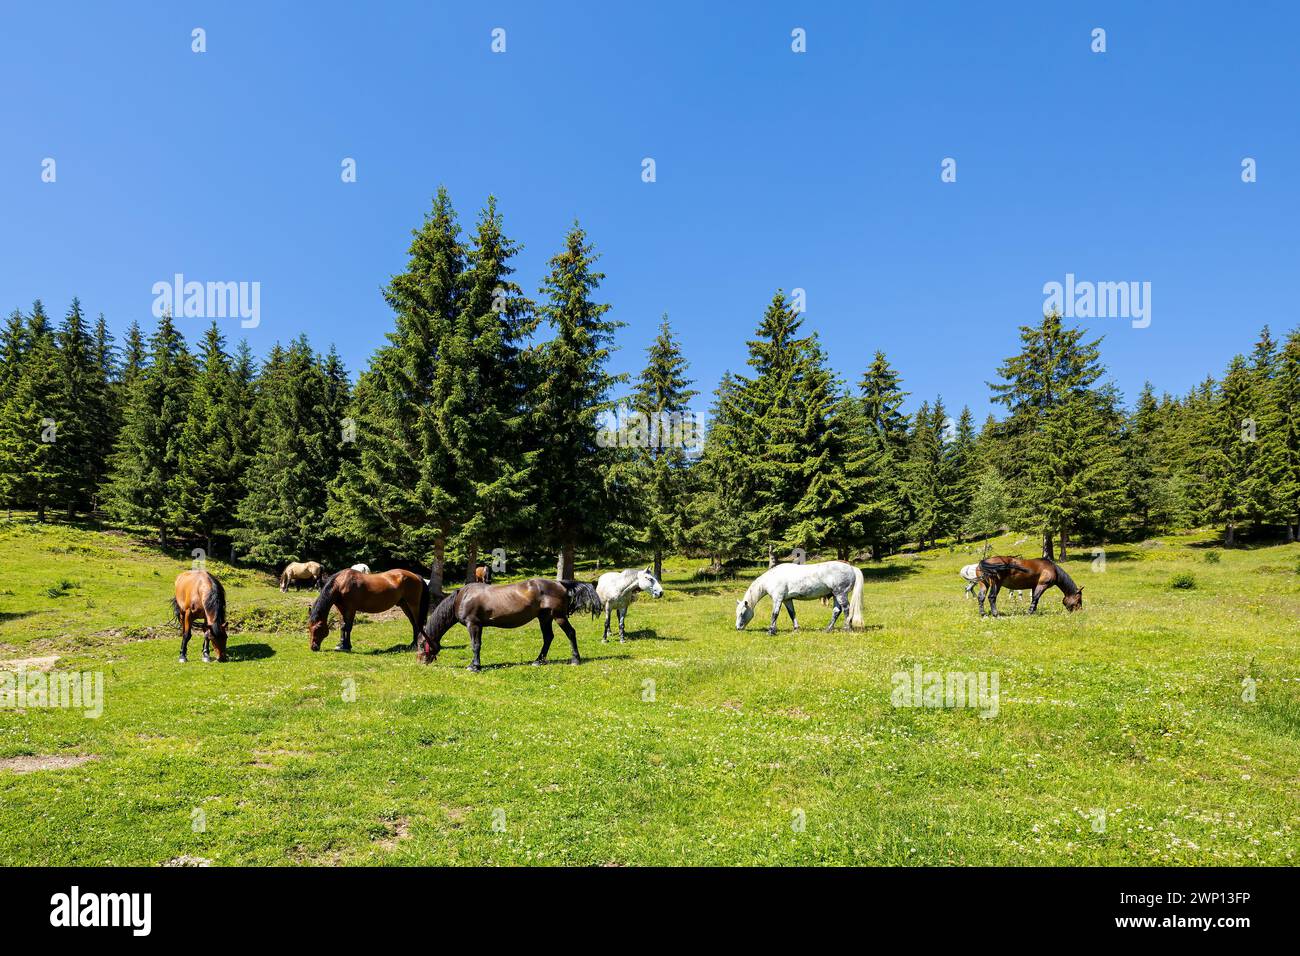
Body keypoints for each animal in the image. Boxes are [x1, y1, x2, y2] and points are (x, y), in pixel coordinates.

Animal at [418, 578, 602, 672]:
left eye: (420, 644)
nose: (420, 662)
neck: (463, 597)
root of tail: (562, 584)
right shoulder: (479, 626)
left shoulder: (473, 624)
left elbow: (475, 645)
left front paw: (474, 666)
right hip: (544, 617)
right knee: (548, 637)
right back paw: (538, 661)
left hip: (558, 616)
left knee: (571, 633)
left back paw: (575, 660)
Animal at [735, 560, 865, 634]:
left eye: (742, 613)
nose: (737, 628)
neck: (772, 578)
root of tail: (852, 568)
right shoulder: (787, 600)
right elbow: (792, 614)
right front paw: (795, 629)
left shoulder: (778, 599)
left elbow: (774, 614)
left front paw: (771, 631)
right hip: (835, 595)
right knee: (837, 611)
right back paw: (827, 630)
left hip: (840, 594)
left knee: (846, 609)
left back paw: (847, 628)